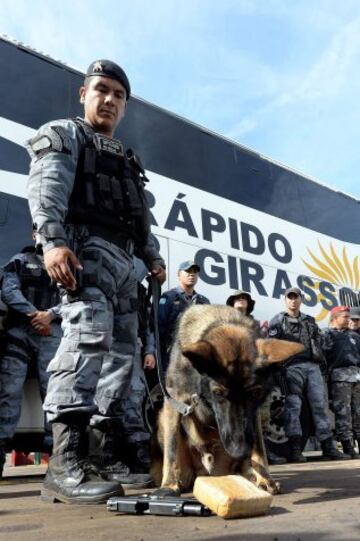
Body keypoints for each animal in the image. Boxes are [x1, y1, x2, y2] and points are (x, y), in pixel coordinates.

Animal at [152, 304, 304, 494]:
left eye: (253, 394)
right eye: (218, 393)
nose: (239, 451)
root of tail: (210, 473)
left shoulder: (254, 414)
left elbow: (259, 449)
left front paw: (265, 477)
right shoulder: (174, 401)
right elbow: (171, 450)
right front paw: (169, 484)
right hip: (163, 419)